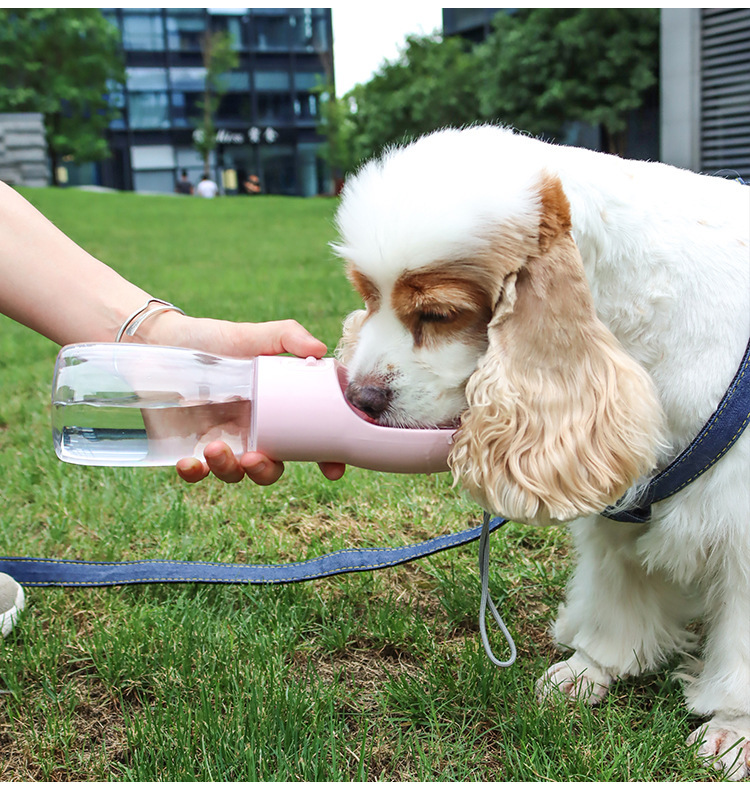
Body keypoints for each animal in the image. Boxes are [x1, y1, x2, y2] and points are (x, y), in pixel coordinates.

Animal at [334, 125, 750, 780]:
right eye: (367, 296)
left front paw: (733, 730)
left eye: (438, 313)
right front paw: (592, 670)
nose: (360, 397)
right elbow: (617, 598)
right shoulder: (619, 504)